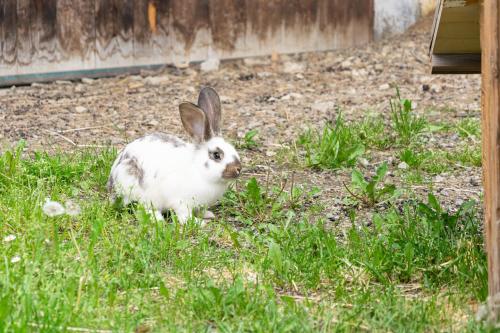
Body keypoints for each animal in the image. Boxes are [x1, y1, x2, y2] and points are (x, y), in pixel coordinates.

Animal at [107, 87, 242, 223]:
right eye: (216, 155)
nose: (238, 169)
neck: (200, 170)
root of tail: (112, 181)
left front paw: (207, 214)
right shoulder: (181, 201)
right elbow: (184, 215)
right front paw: (197, 223)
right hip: (138, 190)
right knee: (144, 208)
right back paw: (159, 220)